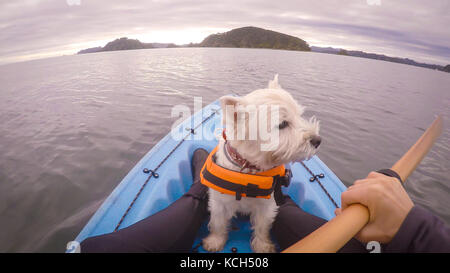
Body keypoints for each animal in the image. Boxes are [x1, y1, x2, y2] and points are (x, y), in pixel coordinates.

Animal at [202, 74, 322, 251]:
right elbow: (218, 223)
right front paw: (214, 241)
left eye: (299, 115)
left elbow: (262, 226)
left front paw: (263, 245)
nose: (318, 140)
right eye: (282, 124)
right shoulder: (219, 203)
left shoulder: (267, 206)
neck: (249, 167)